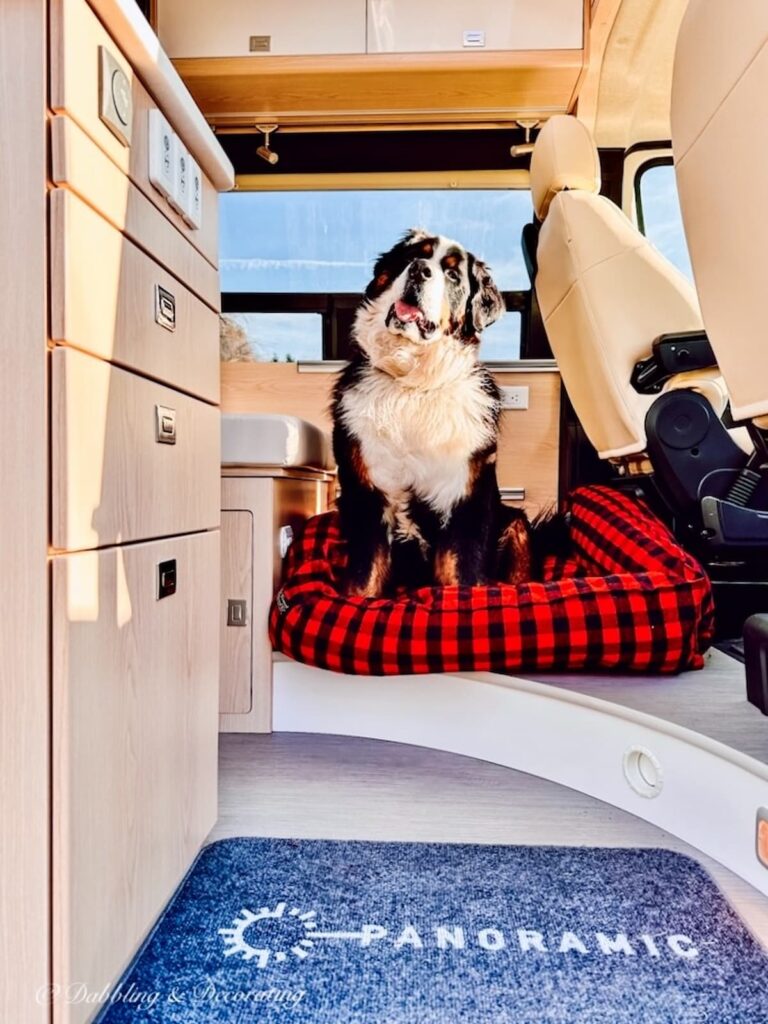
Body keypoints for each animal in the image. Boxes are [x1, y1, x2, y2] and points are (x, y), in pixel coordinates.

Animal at [333, 230, 536, 598]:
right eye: (413, 256)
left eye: (453, 275)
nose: (419, 270)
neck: (412, 385)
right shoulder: (366, 493)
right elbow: (364, 579)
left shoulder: (465, 498)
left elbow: (462, 575)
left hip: (516, 525)